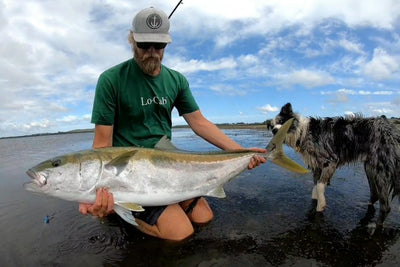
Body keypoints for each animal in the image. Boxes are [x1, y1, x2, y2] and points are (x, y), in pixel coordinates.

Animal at [272, 102, 400, 226]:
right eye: (272, 125)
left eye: (282, 122)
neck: (303, 133)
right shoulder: (316, 166)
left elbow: (320, 185)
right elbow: (315, 185)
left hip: (380, 169)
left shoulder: (330, 161)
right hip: (370, 167)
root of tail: (392, 130)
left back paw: (376, 225)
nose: (273, 131)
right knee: (374, 194)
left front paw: (320, 206)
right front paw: (315, 200)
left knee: (385, 206)